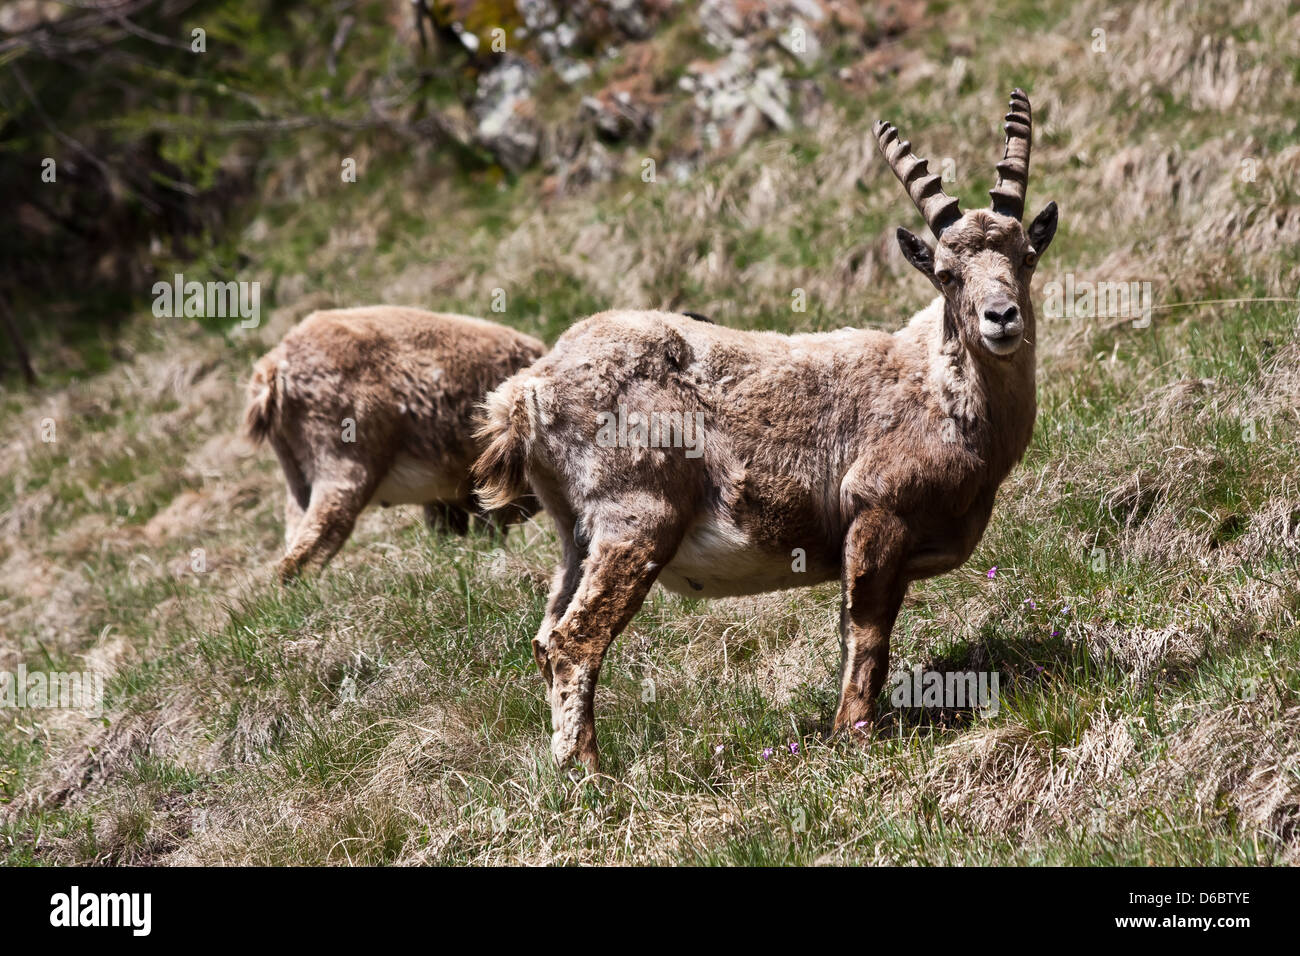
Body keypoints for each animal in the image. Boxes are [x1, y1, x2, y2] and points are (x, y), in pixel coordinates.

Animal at [473, 90, 1059, 772]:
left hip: (575, 532)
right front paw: (854, 738)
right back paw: (592, 777)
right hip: (636, 517)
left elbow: (850, 634)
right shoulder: (876, 513)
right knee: (575, 641)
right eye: (945, 273)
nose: (1001, 317)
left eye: (1026, 257)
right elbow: (868, 636)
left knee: (546, 638)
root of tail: (528, 391)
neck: (937, 390)